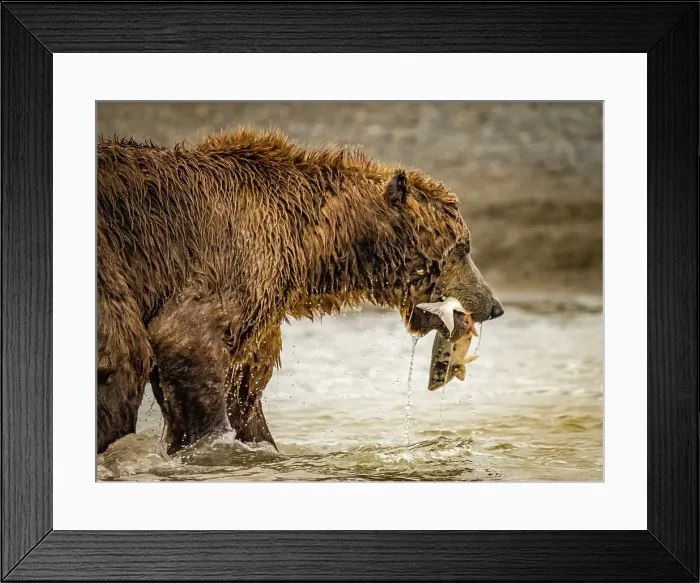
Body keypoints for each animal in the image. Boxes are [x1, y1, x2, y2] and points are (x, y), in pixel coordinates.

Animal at [97, 128, 503, 455]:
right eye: (462, 247)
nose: (494, 305)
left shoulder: (257, 316)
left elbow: (244, 390)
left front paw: (261, 447)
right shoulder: (229, 261)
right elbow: (186, 340)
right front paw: (212, 447)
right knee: (124, 356)